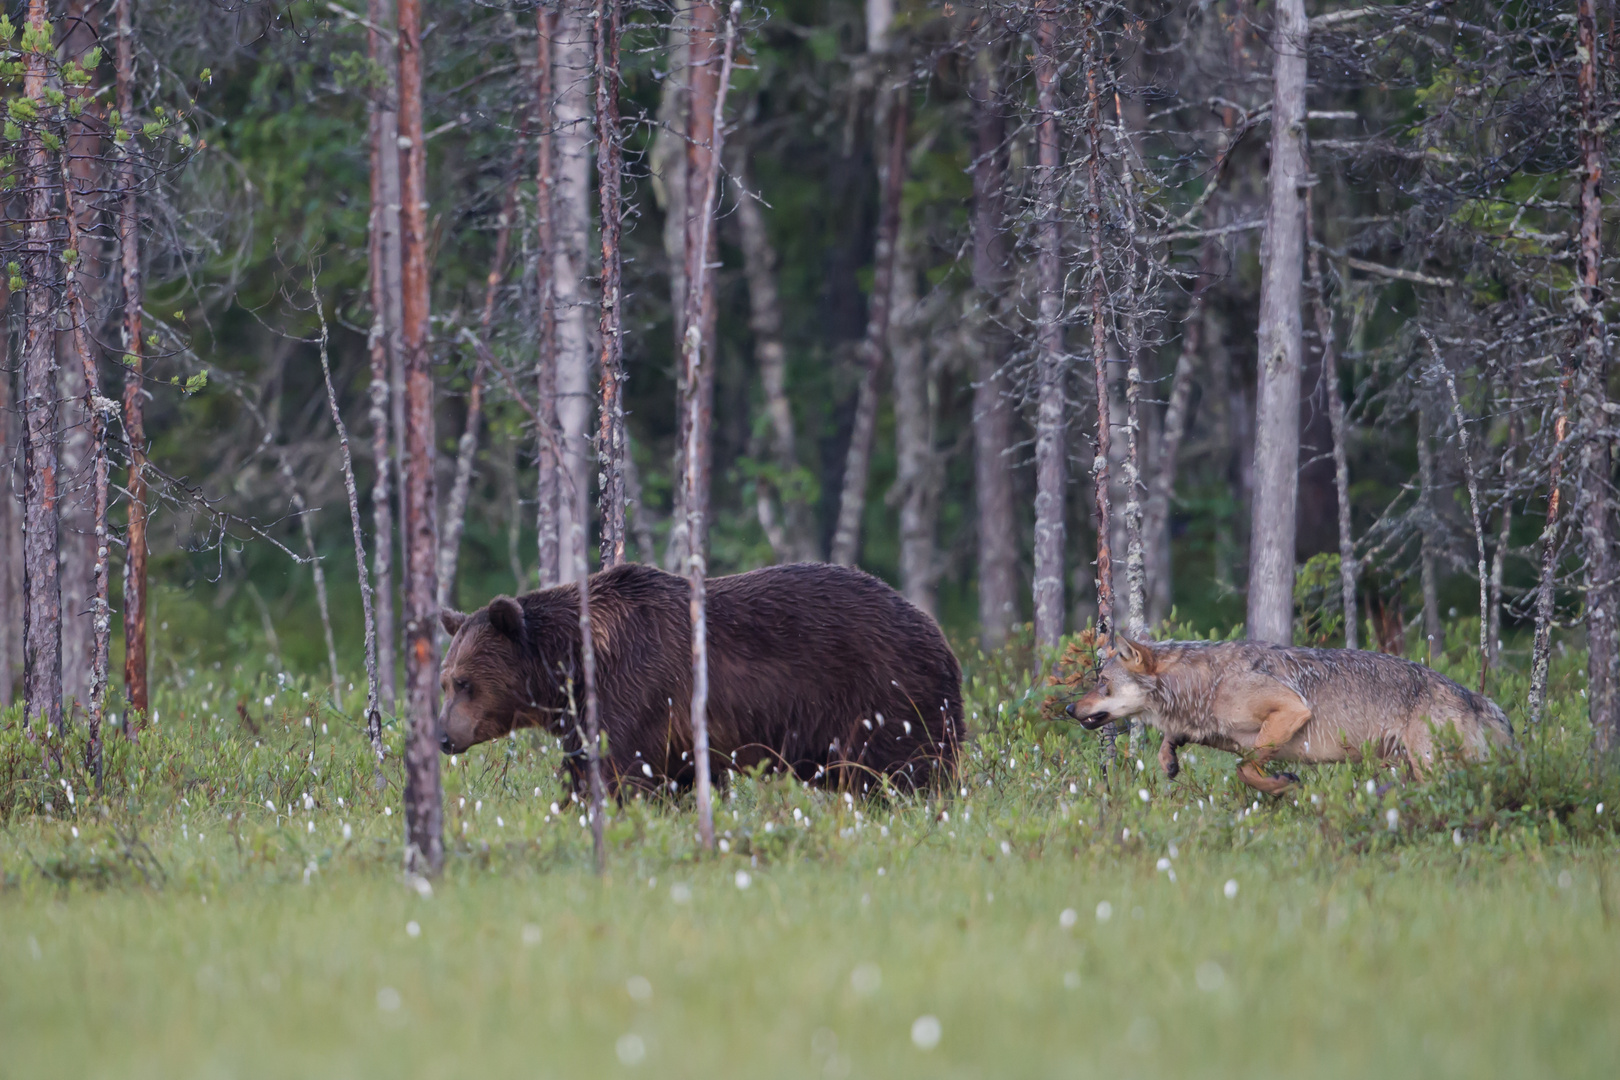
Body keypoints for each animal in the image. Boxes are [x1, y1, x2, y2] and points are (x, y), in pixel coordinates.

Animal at [437, 563, 959, 799]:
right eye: (445, 681)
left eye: (464, 682)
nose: (443, 736)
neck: (578, 663)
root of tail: (941, 637)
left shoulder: (638, 684)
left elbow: (620, 769)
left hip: (885, 697)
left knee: (906, 770)